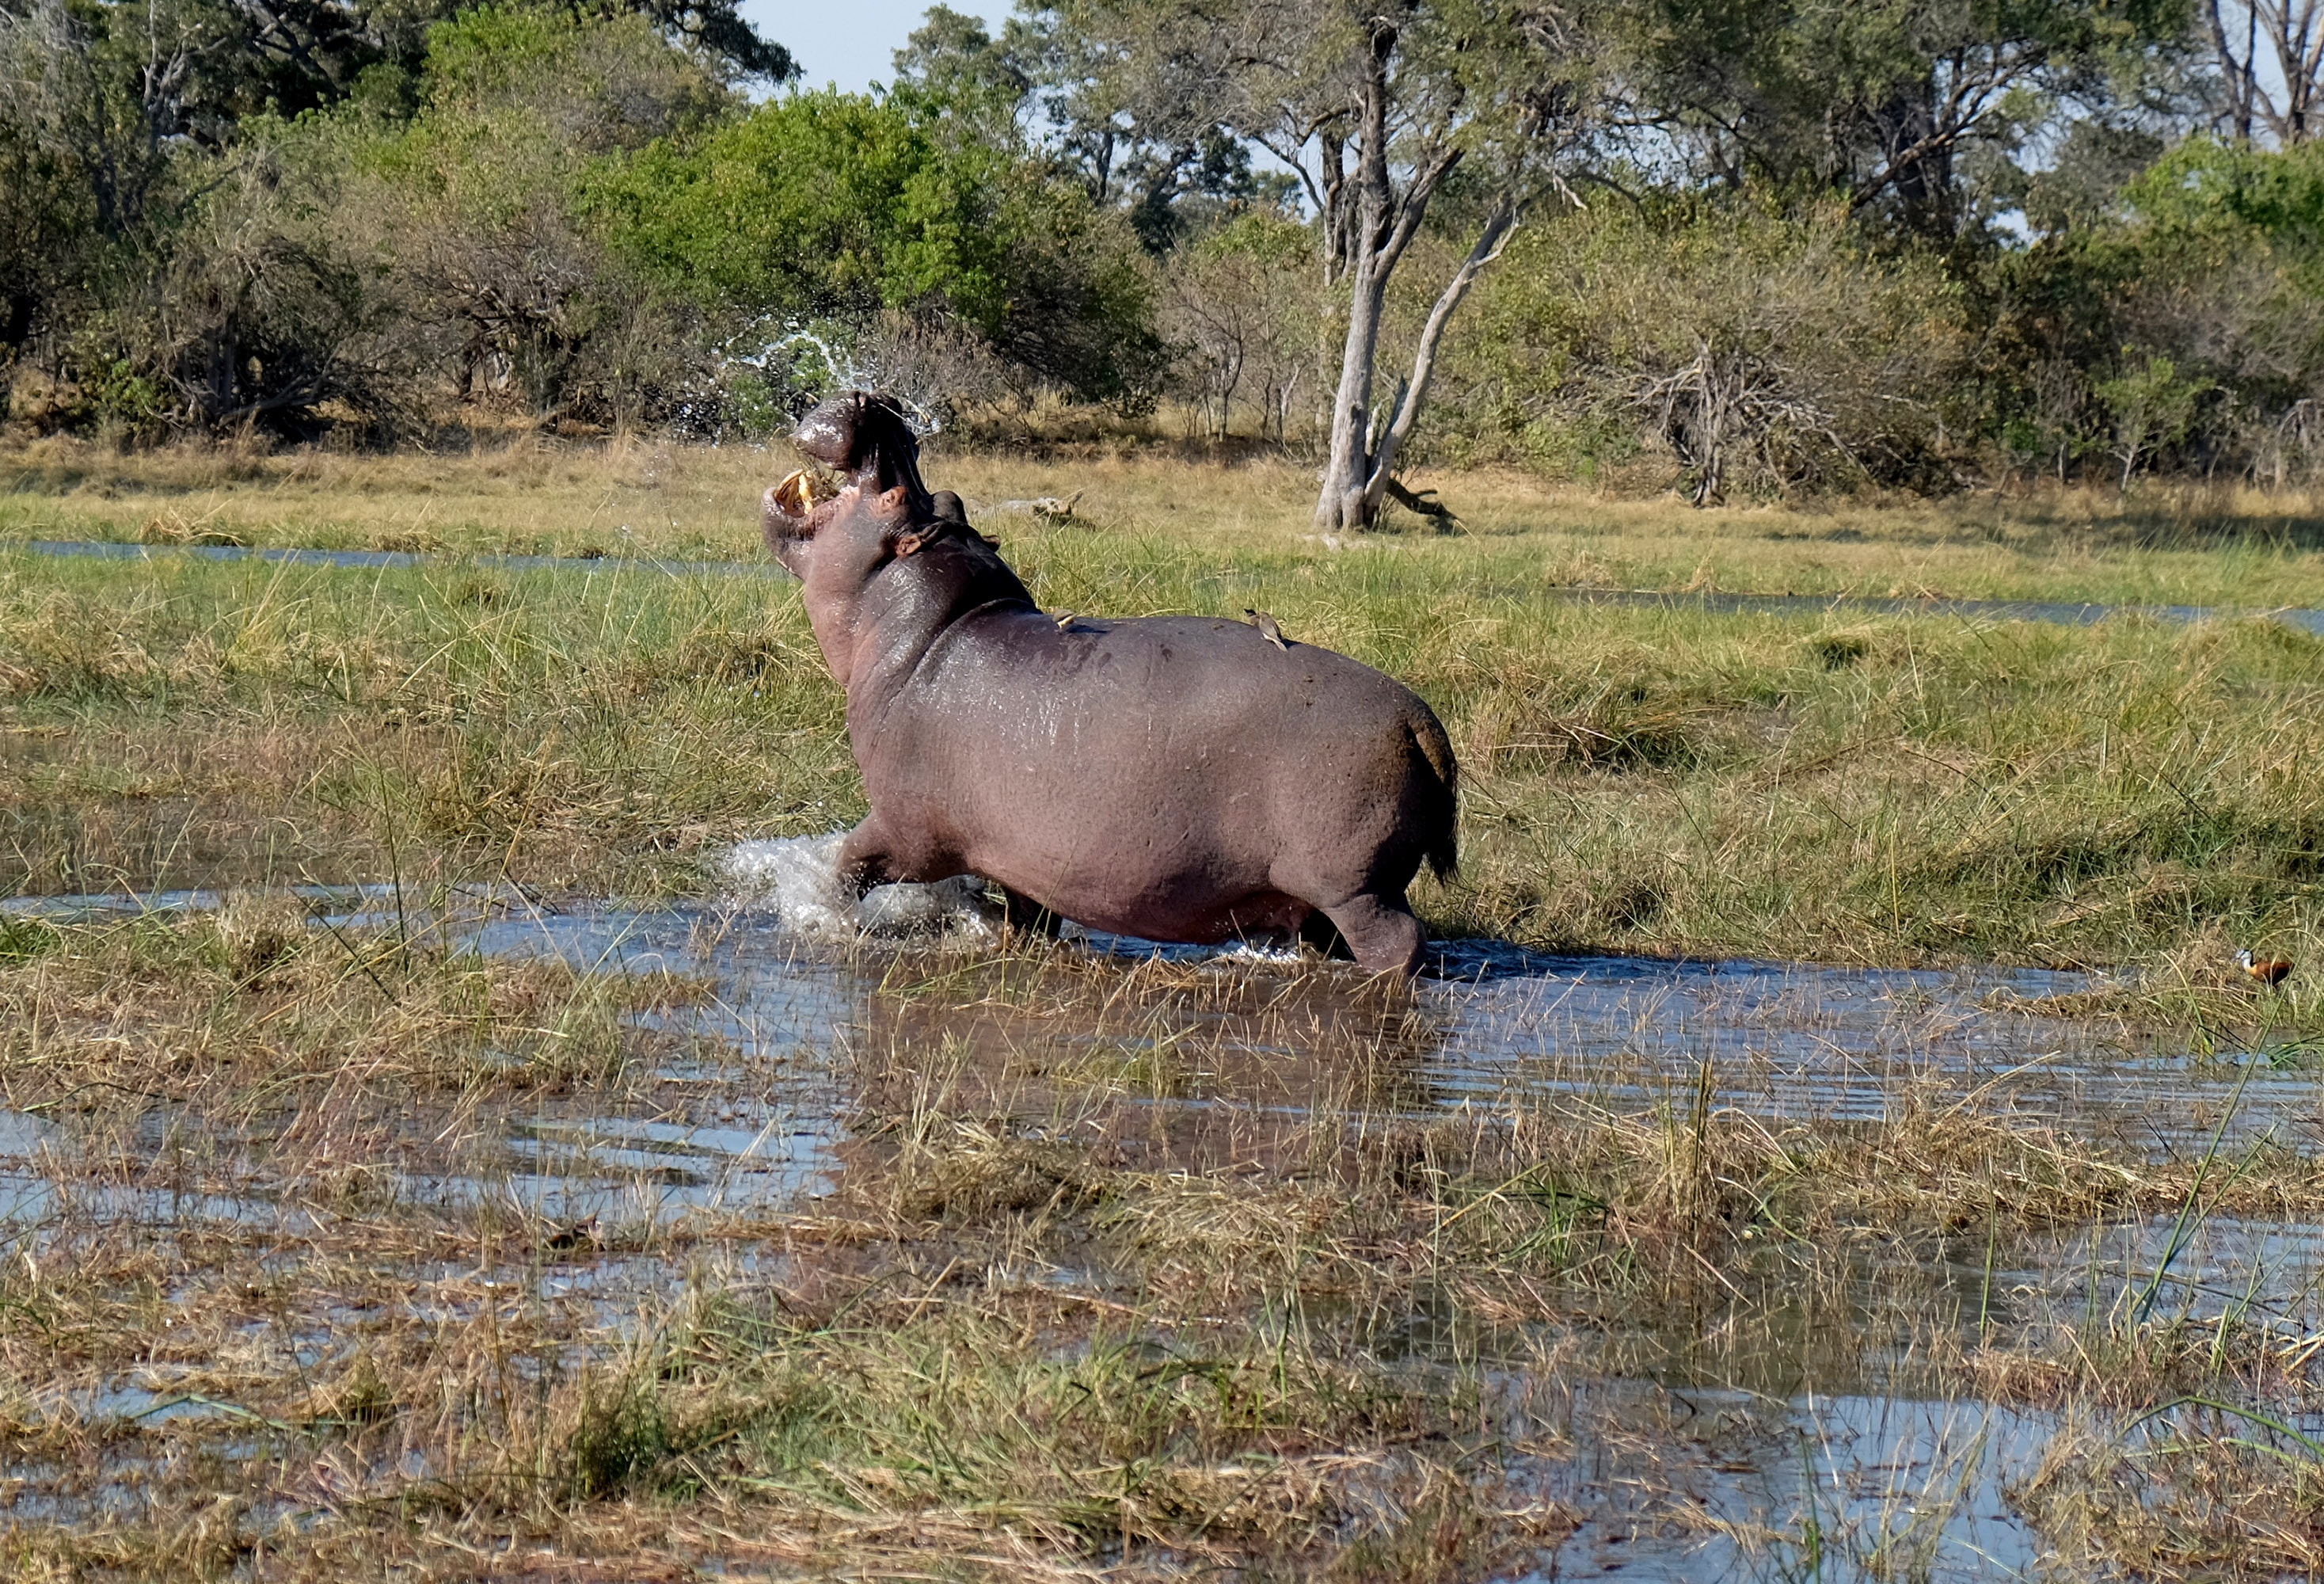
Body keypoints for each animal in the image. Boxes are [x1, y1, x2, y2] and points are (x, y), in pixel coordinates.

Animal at [760, 392, 1459, 975]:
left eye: (895, 502)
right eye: (949, 497)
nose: (876, 404)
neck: (931, 626)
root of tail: (1416, 718)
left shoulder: (908, 831)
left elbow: (849, 864)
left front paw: (824, 915)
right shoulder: (1023, 857)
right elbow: (1026, 917)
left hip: (1352, 886)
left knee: (1398, 943)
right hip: (1324, 892)